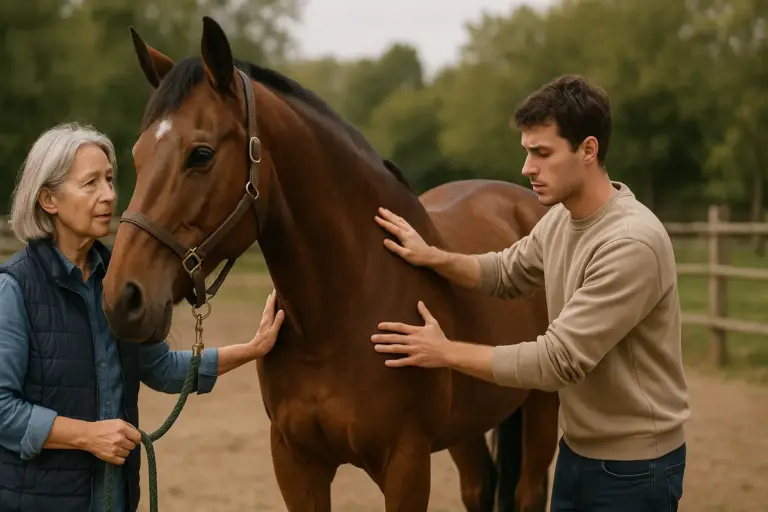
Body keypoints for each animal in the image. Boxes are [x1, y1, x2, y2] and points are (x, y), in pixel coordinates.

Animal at [101, 16, 560, 512]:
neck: (339, 313)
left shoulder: (406, 463)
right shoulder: (296, 462)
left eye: (200, 154)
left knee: (529, 491)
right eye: (137, 155)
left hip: (542, 404)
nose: (122, 297)